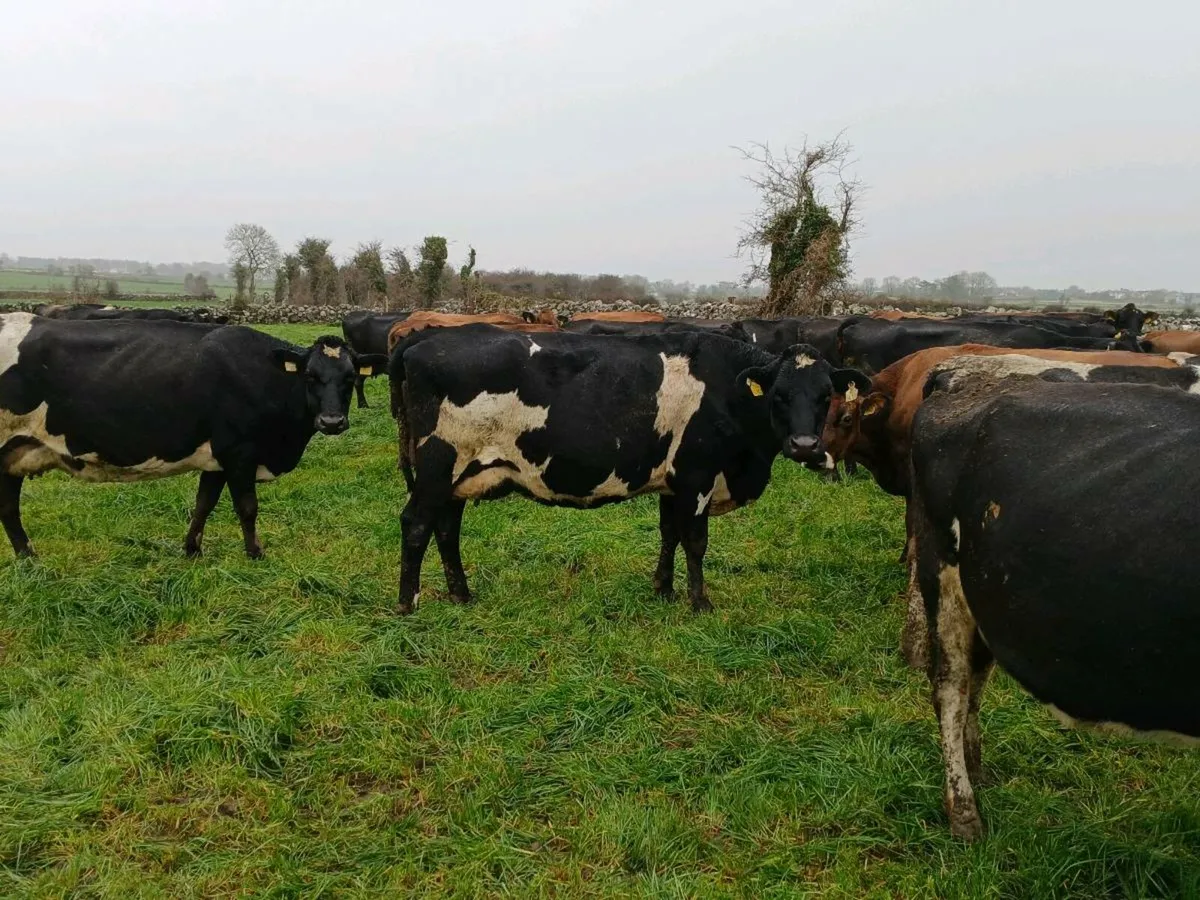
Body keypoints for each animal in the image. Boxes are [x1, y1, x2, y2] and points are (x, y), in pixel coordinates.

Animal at [0, 313, 387, 559]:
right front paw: (255, 553)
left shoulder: (217, 459)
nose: (332, 421)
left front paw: (191, 550)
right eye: (310, 376)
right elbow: (247, 507)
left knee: (9, 507)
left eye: (350, 377)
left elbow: (204, 504)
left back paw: (28, 557)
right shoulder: (241, 452)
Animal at [389, 325, 870, 615]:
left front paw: (663, 589)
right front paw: (700, 603)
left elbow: (669, 534)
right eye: (779, 396)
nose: (805, 446)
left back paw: (461, 595)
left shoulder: (672, 483)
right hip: (438, 466)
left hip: (461, 475)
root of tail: (423, 341)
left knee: (446, 529)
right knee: (416, 525)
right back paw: (408, 605)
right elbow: (696, 542)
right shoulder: (696, 477)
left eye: (825, 396)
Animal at [909, 365, 1200, 840]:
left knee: (975, 679)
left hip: (985, 593)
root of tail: (960, 378)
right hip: (942, 571)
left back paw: (977, 772)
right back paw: (964, 813)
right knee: (950, 687)